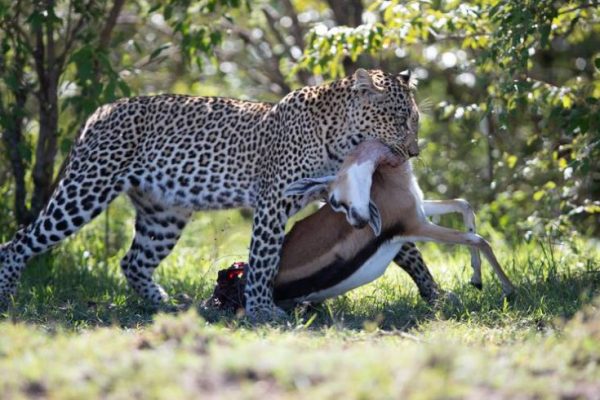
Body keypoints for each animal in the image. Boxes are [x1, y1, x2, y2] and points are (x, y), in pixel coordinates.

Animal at [0, 67, 422, 320]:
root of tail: (100, 111)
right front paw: (262, 310)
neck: (340, 135)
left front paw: (432, 295)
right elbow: (264, 259)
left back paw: (167, 306)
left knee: (133, 261)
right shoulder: (272, 203)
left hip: (163, 214)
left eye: (415, 120)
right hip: (86, 190)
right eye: (400, 119)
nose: (415, 152)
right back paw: (7, 297)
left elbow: (404, 244)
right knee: (19, 242)